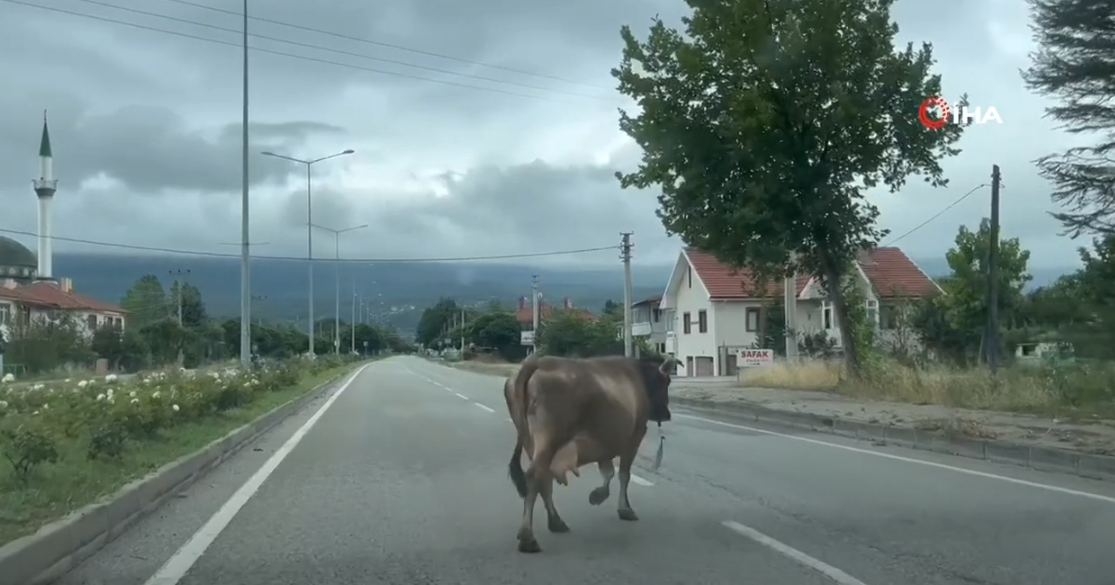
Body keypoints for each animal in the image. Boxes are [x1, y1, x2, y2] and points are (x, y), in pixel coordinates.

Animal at [503, 352, 669, 552]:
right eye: (667, 382)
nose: (667, 414)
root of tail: (538, 362)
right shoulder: (634, 436)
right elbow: (623, 474)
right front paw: (624, 508)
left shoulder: (604, 444)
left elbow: (608, 471)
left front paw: (598, 495)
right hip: (549, 438)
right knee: (535, 477)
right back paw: (528, 537)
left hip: (531, 441)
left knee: (544, 480)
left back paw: (556, 522)